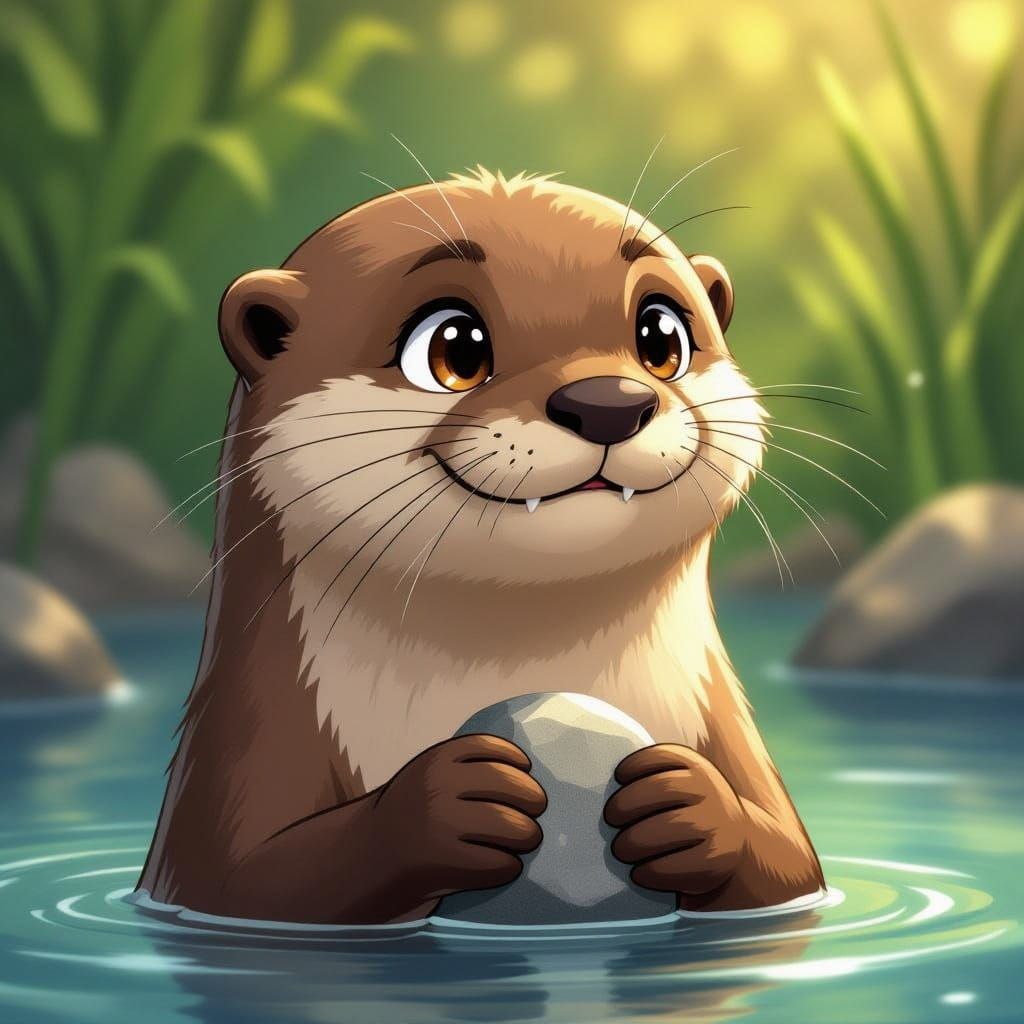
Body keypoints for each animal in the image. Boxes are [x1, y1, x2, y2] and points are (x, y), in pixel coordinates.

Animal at [138, 168, 823, 923]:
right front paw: (444, 806)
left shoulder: (725, 731)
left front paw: (693, 808)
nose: (609, 401)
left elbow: (790, 865)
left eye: (662, 333)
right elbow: (254, 878)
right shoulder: (248, 748)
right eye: (455, 347)